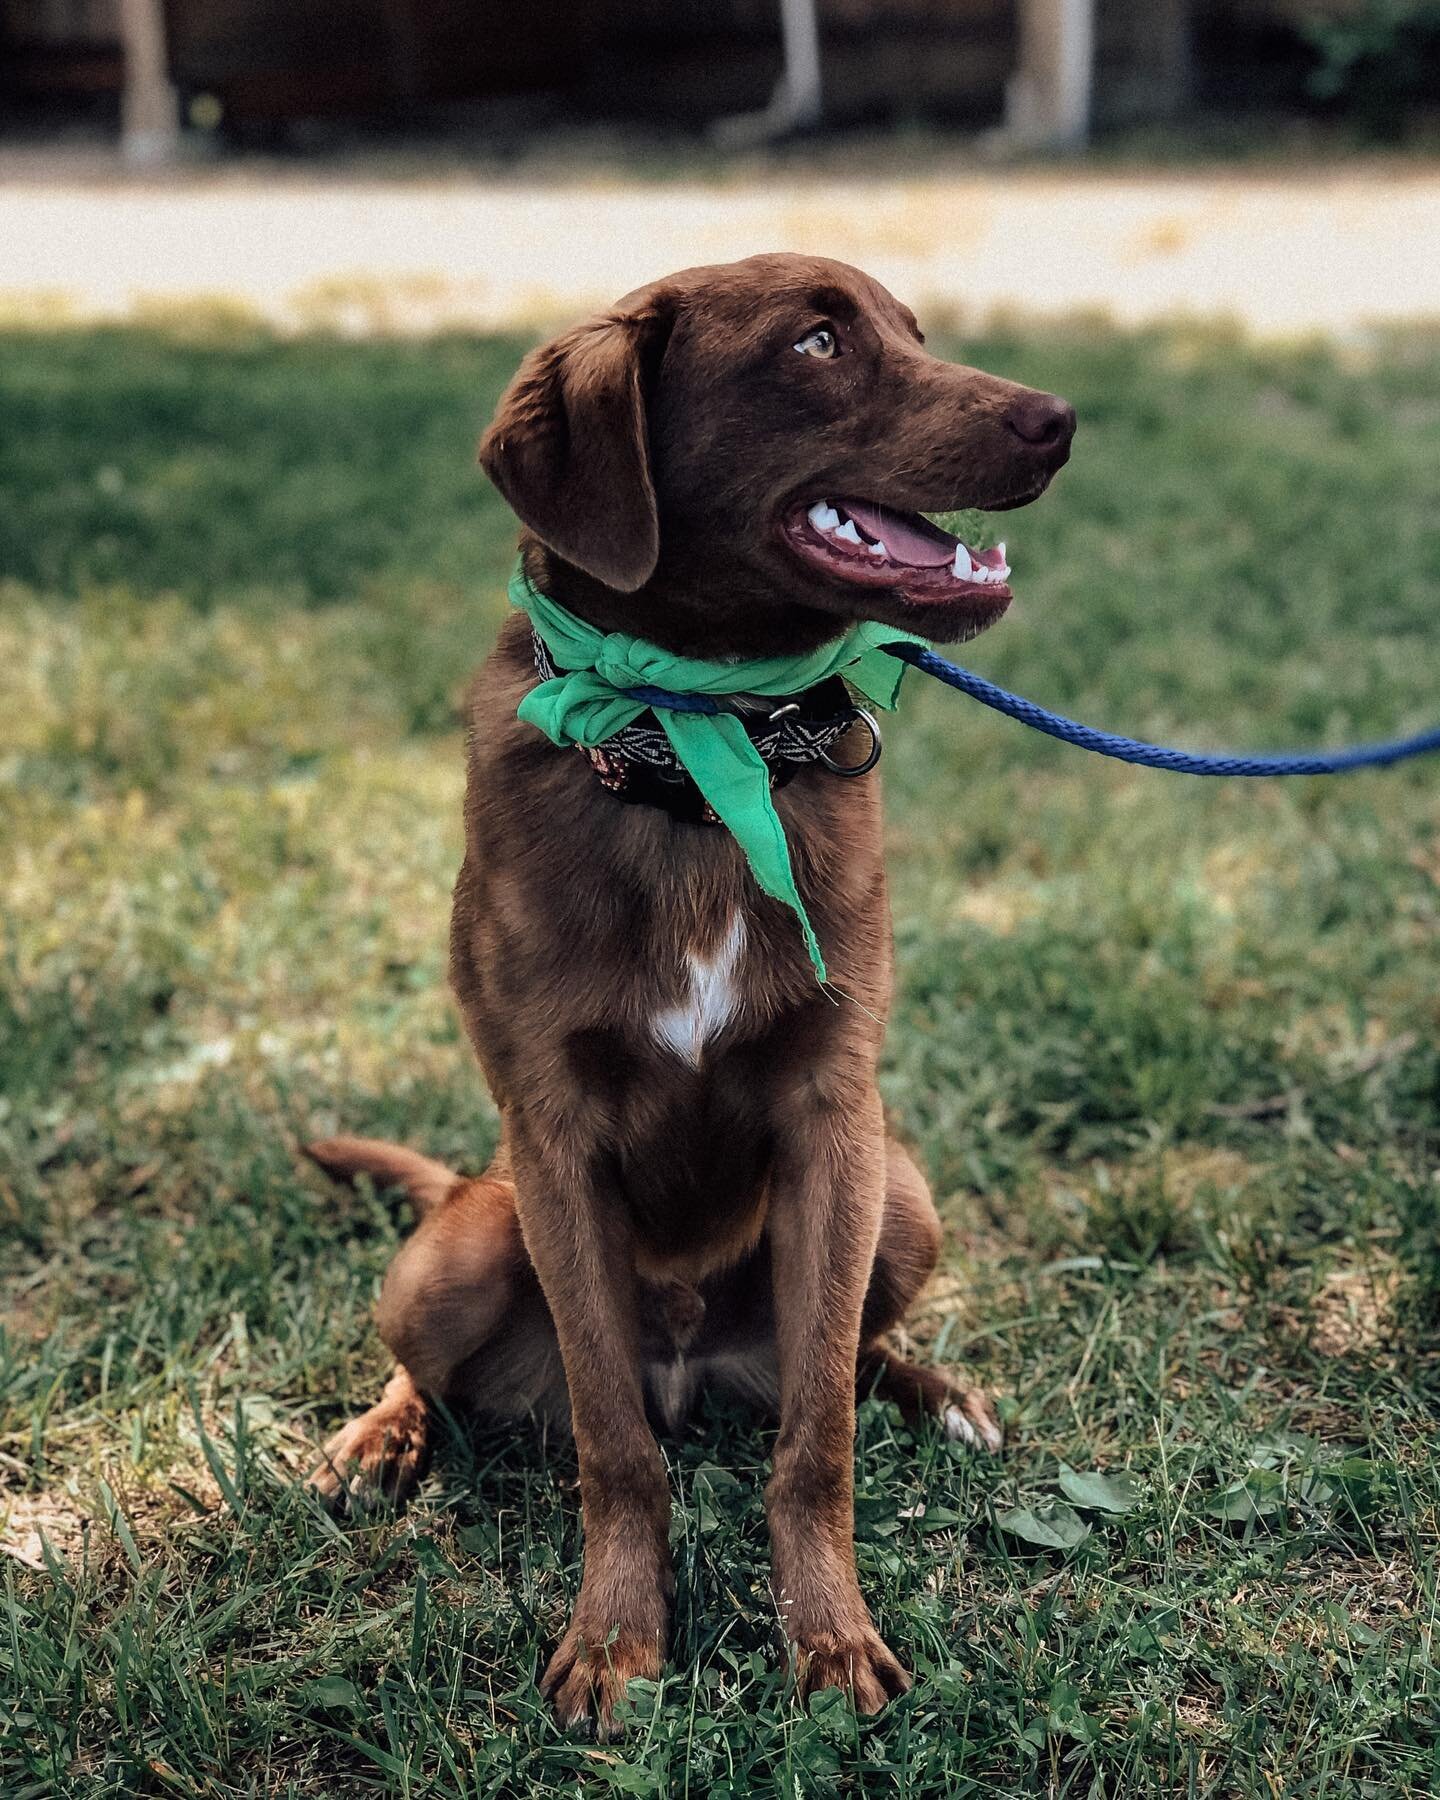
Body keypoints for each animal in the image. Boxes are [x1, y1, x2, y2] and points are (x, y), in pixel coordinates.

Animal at [300, 253, 1065, 1728]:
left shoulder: (835, 1120)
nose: (1060, 418)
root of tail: (691, 1366)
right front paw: (617, 1641)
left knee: (851, 1358)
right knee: (438, 1367)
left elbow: (816, 1437)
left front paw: (828, 1637)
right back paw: (376, 1439)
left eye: (915, 334)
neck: (697, 748)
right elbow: (616, 1448)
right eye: (818, 343)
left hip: (903, 1194)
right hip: (464, 1244)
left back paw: (940, 1394)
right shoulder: (554, 1137)